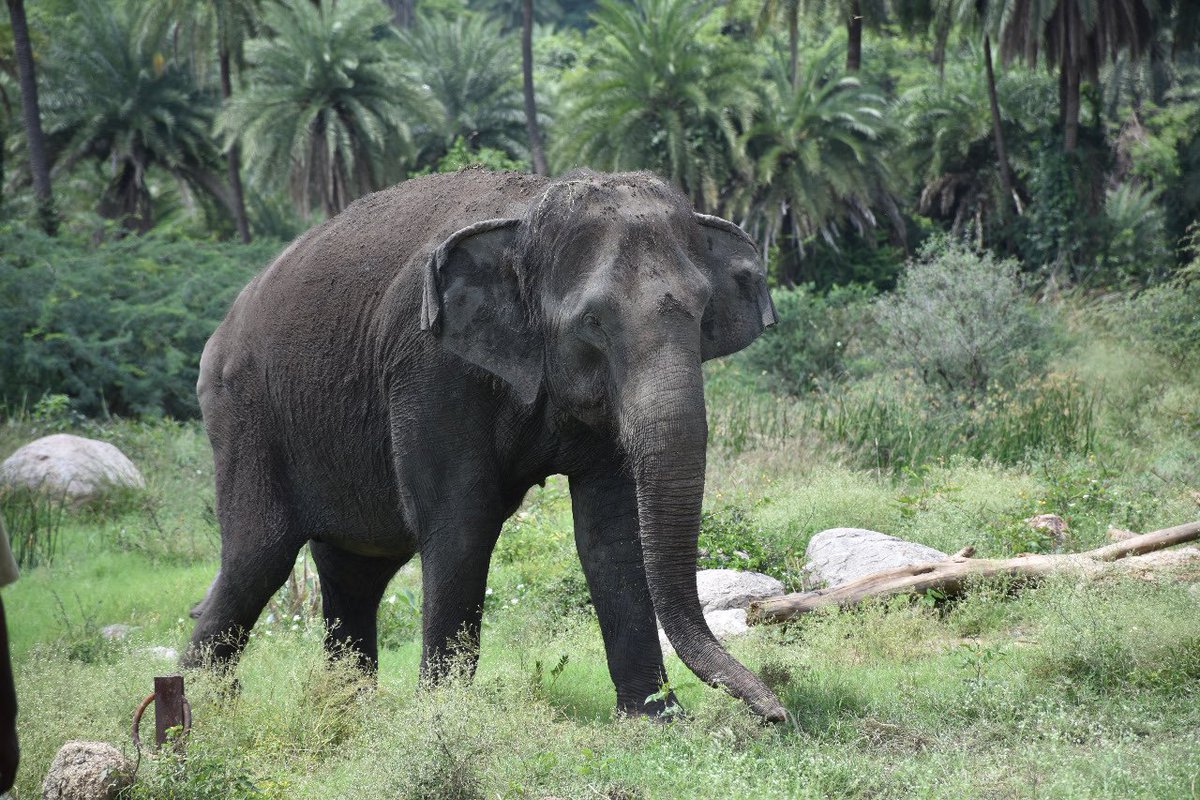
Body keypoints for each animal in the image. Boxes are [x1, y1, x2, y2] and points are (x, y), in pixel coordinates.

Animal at [184, 168, 785, 721]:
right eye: (593, 321)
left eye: (703, 311)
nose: (774, 713)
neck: (527, 214)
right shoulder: (430, 367)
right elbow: (462, 521)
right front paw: (442, 720)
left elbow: (610, 530)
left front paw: (654, 720)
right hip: (244, 420)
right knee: (255, 561)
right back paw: (205, 713)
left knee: (355, 572)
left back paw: (348, 714)